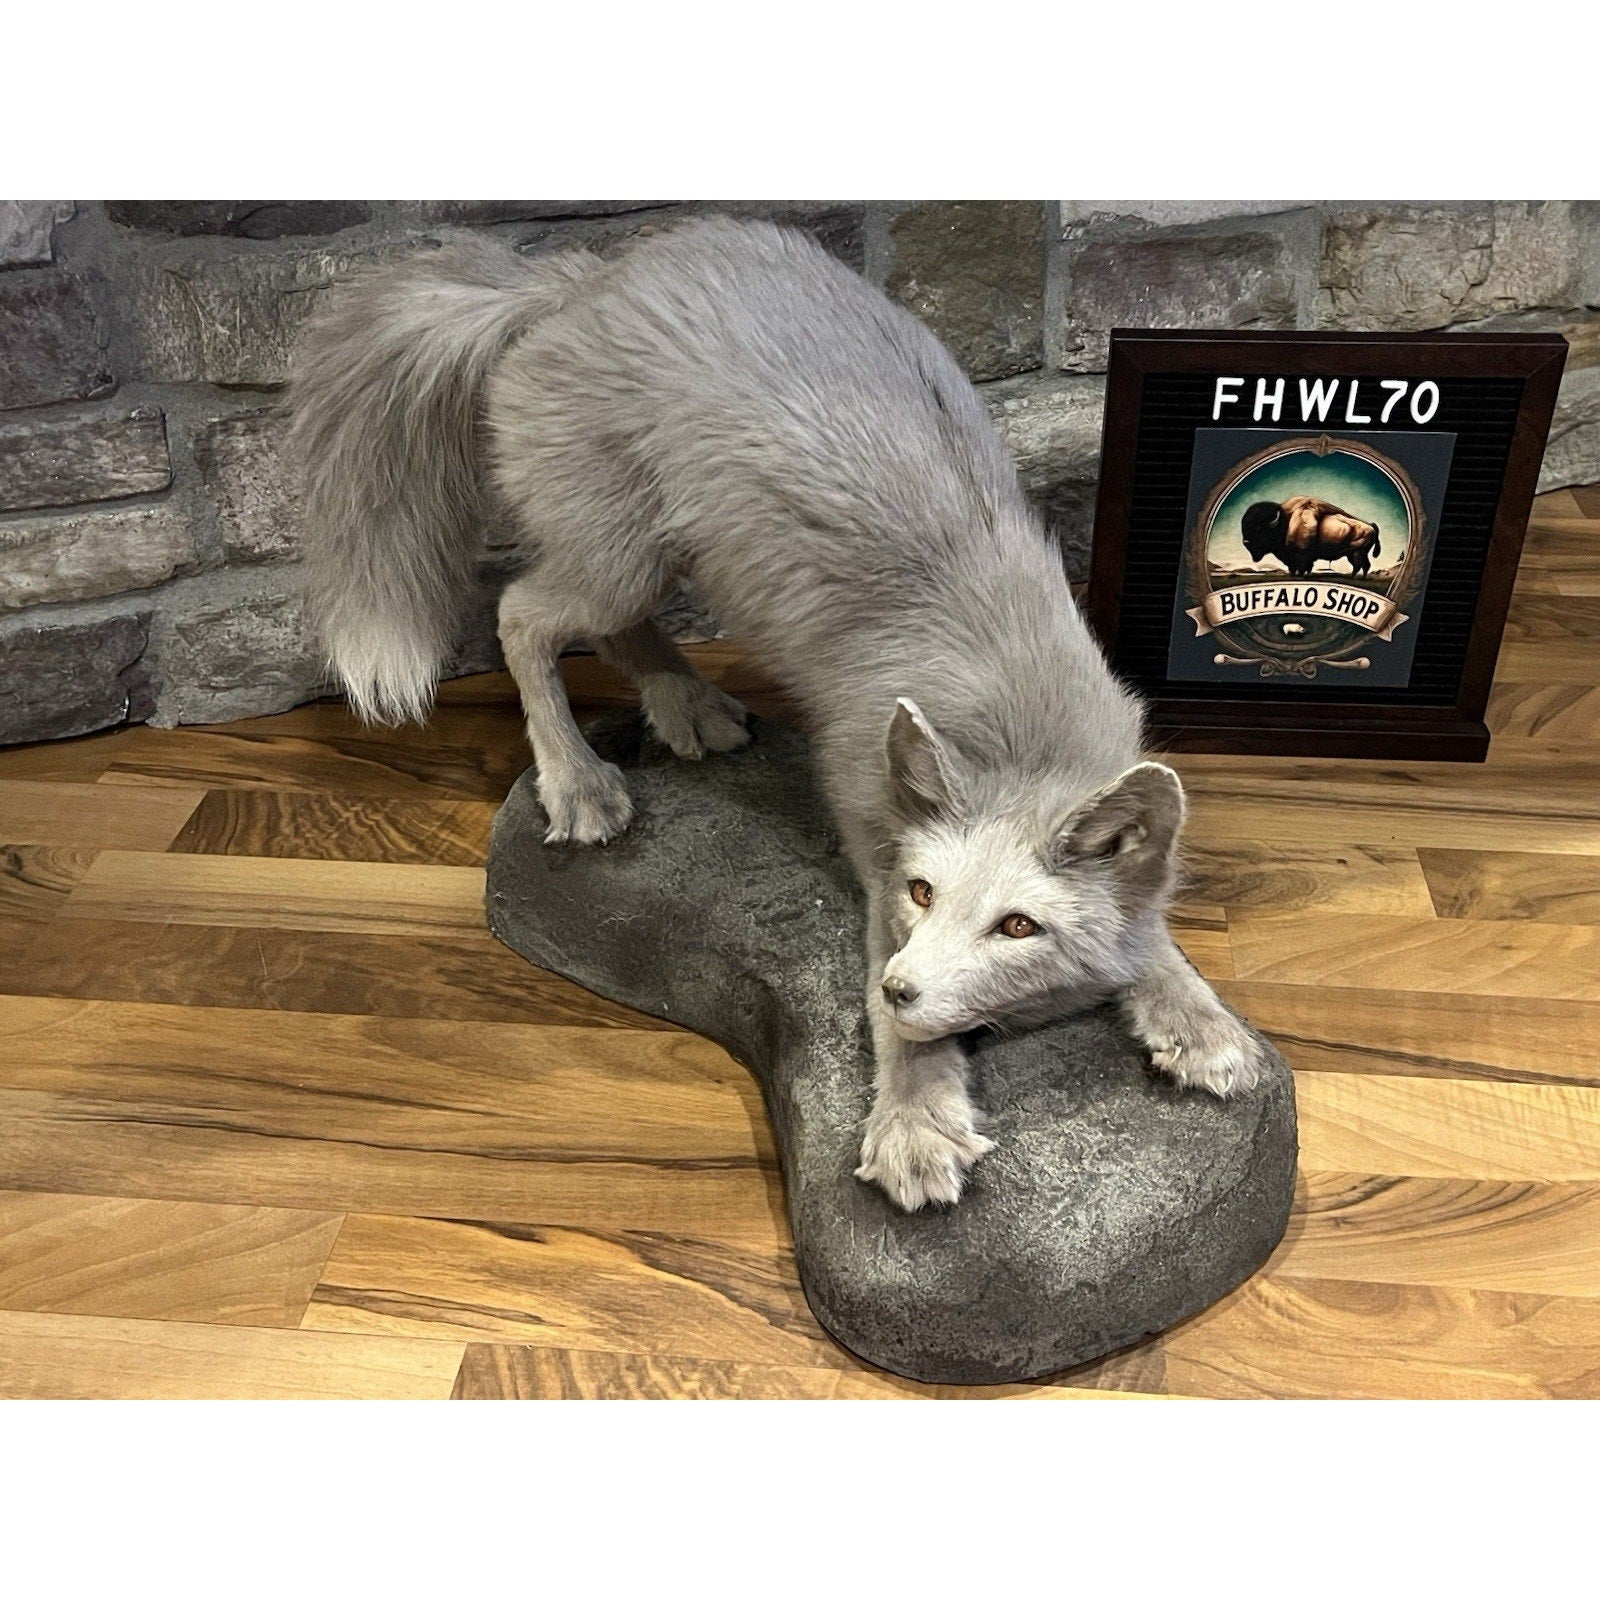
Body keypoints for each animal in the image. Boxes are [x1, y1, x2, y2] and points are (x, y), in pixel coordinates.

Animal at [289, 217, 1267, 1212]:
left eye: (1018, 926)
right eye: (924, 893)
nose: (901, 989)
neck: (1019, 732)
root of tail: (580, 281)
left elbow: (1155, 935)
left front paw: (1201, 1021)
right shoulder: (877, 857)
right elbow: (905, 1031)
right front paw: (914, 1123)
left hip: (657, 553)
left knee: (606, 629)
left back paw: (687, 705)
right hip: (621, 557)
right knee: (520, 613)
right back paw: (578, 781)